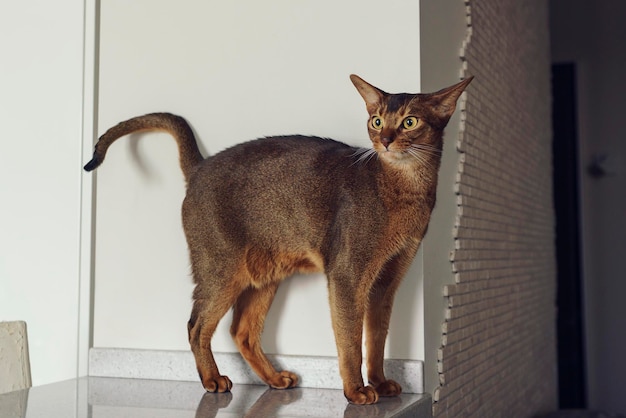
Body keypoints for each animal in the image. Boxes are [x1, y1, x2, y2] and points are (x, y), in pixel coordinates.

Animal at [85, 73, 470, 404]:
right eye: (376, 121)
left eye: (410, 122)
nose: (385, 140)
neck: (406, 191)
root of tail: (200, 166)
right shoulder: (348, 275)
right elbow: (350, 340)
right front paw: (356, 390)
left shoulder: (387, 281)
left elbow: (376, 338)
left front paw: (380, 382)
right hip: (220, 269)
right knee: (196, 325)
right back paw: (212, 379)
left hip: (265, 274)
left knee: (241, 331)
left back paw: (273, 378)